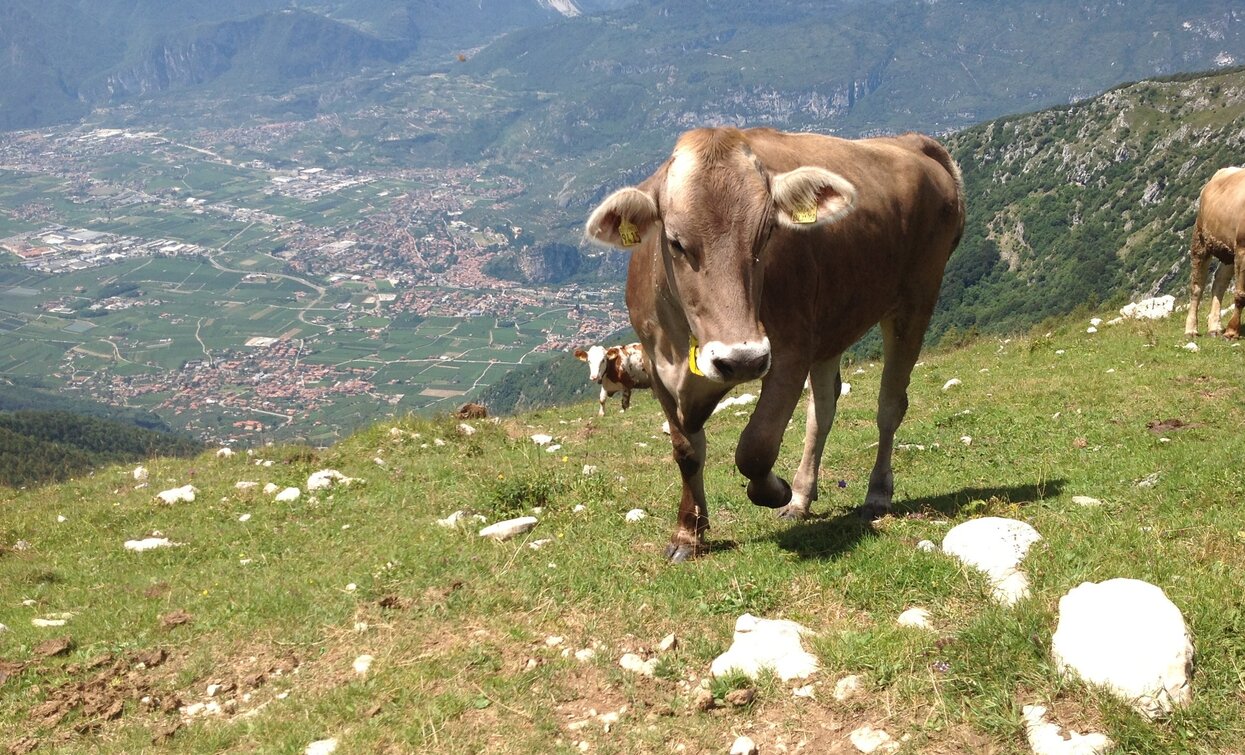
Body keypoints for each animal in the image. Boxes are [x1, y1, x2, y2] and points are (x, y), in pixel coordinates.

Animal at [585, 126, 964, 561]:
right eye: (676, 242)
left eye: (766, 235)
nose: (741, 360)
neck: (686, 342)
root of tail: (910, 140)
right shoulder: (657, 365)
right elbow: (686, 451)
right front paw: (688, 534)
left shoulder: (789, 352)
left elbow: (756, 447)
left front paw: (774, 490)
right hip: (831, 323)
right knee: (823, 410)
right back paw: (801, 498)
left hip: (915, 299)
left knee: (889, 405)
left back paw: (875, 494)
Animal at [1185, 167, 1245, 338]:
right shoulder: (1242, 248)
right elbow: (1240, 294)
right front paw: (1232, 331)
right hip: (1200, 240)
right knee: (1197, 286)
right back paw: (1191, 330)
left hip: (1229, 251)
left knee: (1219, 281)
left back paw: (1214, 327)